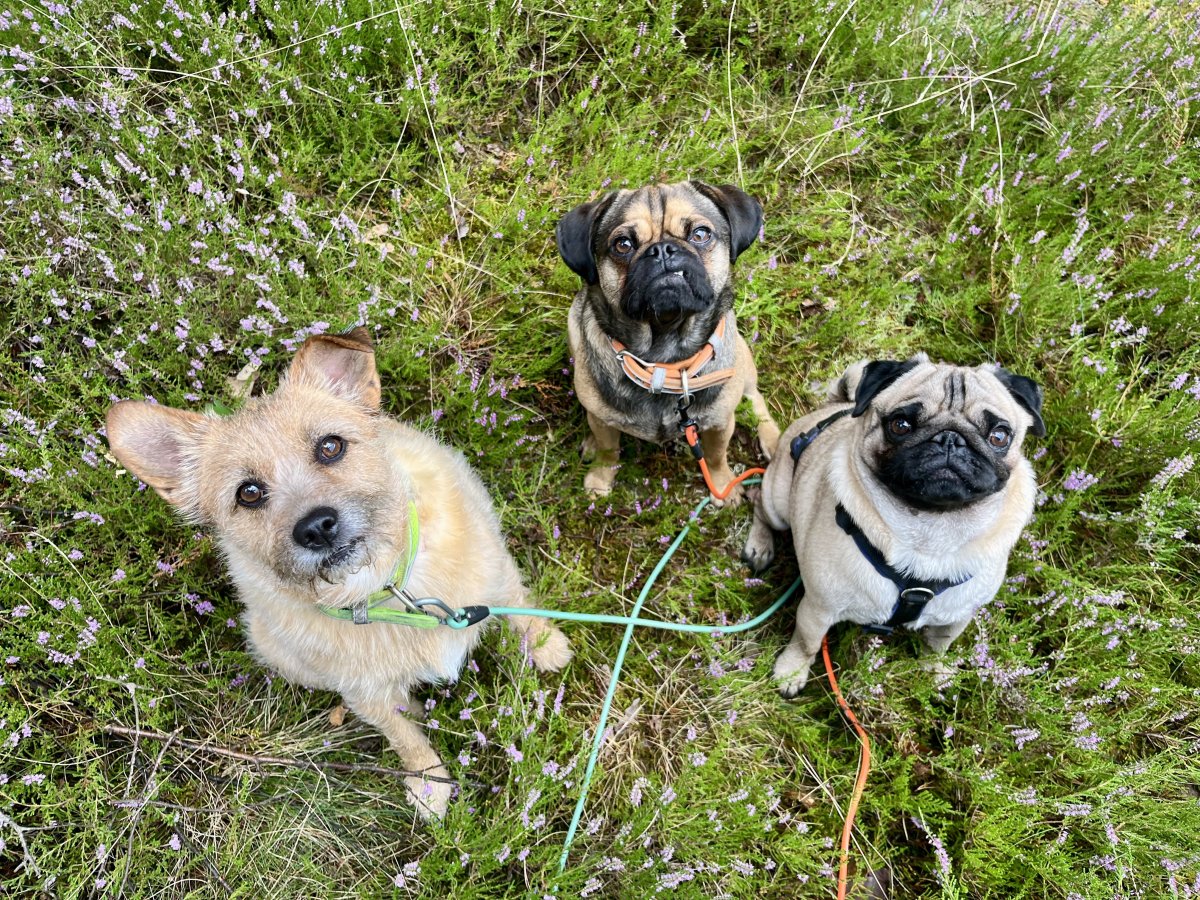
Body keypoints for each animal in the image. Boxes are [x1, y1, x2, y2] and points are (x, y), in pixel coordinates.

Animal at [105, 328, 572, 819]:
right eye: (247, 493)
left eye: (330, 447)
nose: (315, 527)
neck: (388, 590)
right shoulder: (365, 692)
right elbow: (403, 736)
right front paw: (429, 783)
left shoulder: (495, 570)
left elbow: (518, 604)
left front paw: (546, 645)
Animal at [556, 180, 781, 504]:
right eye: (622, 244)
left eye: (700, 234)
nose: (662, 250)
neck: (664, 361)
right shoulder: (603, 423)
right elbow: (609, 451)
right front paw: (600, 478)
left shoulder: (720, 423)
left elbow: (716, 456)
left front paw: (723, 484)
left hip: (743, 364)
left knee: (755, 399)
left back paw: (773, 440)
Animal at [741, 355, 1045, 696]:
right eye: (901, 425)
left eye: (999, 436)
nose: (950, 439)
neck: (930, 529)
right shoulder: (818, 608)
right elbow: (806, 643)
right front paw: (791, 672)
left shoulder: (956, 617)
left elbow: (937, 646)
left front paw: (934, 672)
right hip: (778, 501)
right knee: (761, 505)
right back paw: (759, 547)